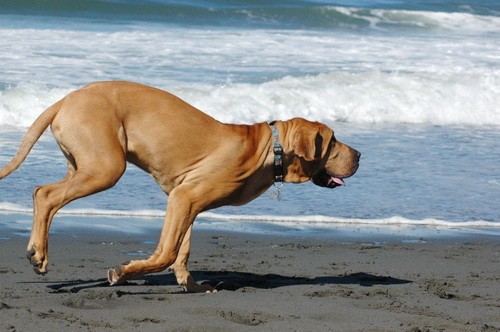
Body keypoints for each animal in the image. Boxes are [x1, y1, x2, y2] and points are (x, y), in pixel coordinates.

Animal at [0, 81, 360, 292]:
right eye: (332, 141)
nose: (359, 155)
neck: (269, 150)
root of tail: (64, 99)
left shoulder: (184, 199)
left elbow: (181, 248)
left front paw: (189, 283)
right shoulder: (186, 196)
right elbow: (168, 250)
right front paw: (125, 272)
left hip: (83, 164)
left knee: (41, 193)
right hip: (105, 167)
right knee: (46, 194)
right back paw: (38, 254)